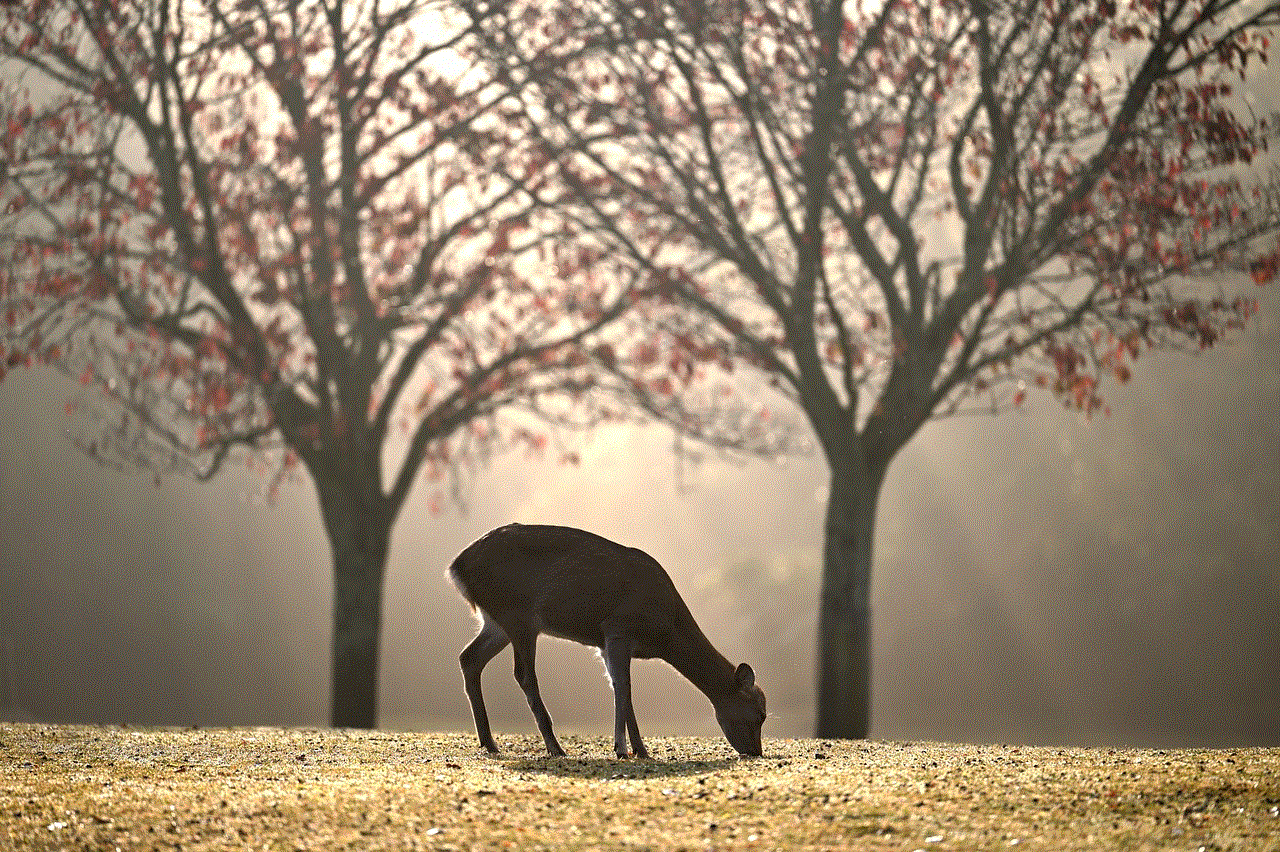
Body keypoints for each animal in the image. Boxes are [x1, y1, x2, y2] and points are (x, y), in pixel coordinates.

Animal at [450, 524, 762, 757]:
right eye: (760, 713)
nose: (755, 751)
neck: (665, 631)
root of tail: (455, 567)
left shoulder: (604, 643)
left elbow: (619, 687)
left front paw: (640, 749)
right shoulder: (618, 628)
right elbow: (624, 686)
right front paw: (622, 748)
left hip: (496, 622)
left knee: (469, 657)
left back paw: (489, 742)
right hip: (518, 615)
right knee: (523, 674)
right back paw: (554, 746)